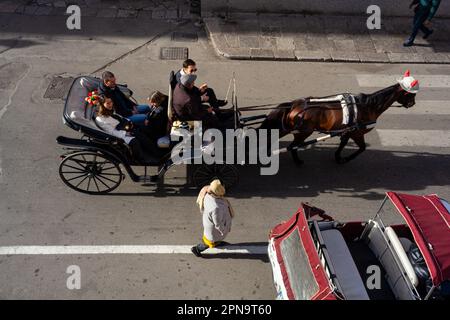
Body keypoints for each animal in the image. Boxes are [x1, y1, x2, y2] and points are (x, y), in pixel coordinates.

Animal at [260, 72, 418, 165]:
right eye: (411, 94)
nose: (412, 104)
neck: (368, 106)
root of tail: (295, 104)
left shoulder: (348, 131)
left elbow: (343, 144)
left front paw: (337, 156)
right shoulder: (357, 132)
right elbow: (362, 148)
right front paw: (346, 158)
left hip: (287, 128)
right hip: (303, 132)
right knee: (292, 146)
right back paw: (296, 160)